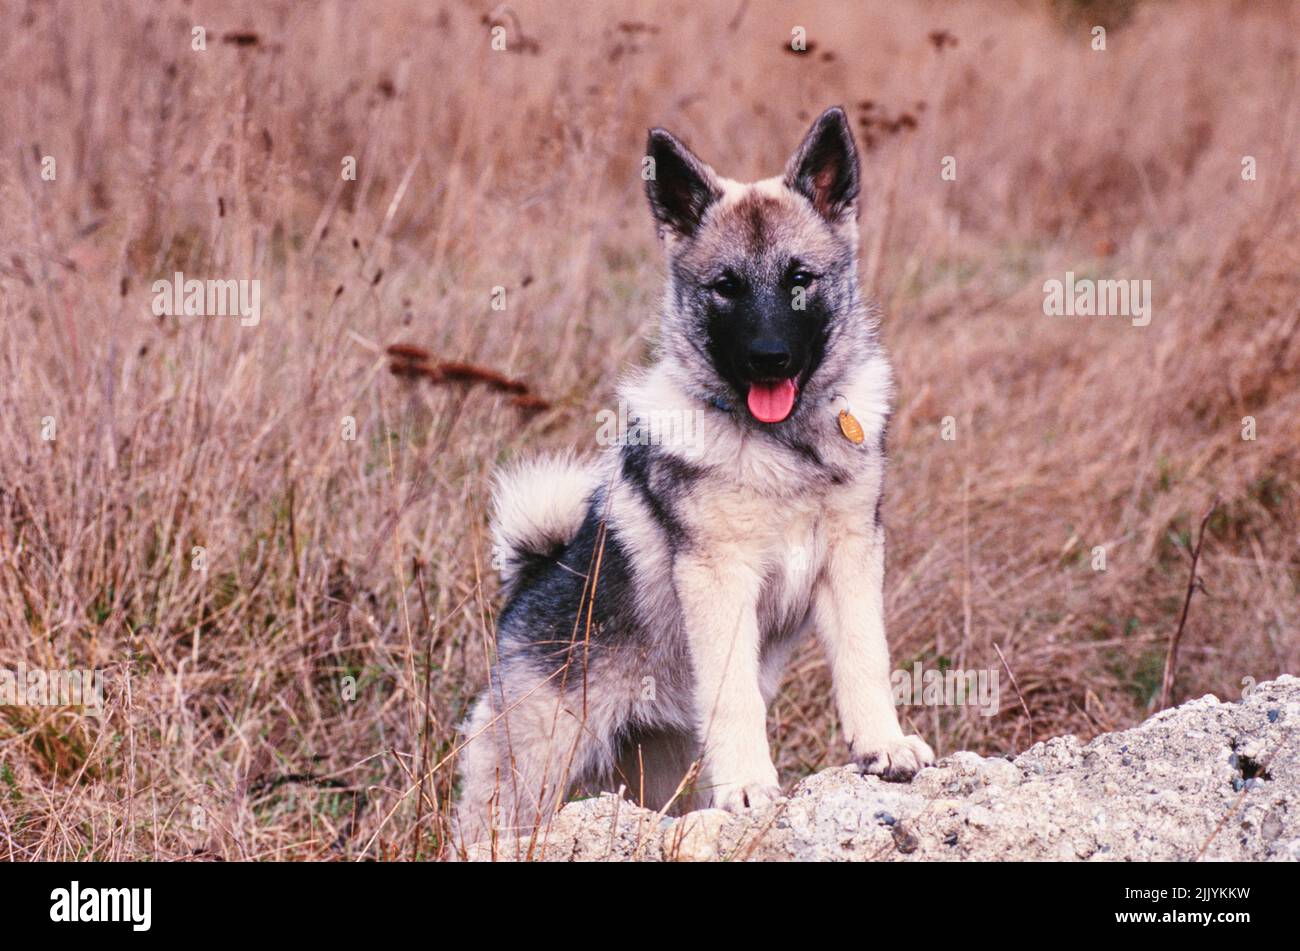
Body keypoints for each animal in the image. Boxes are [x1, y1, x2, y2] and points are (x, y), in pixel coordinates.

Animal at [457, 107, 935, 841]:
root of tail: (529, 578)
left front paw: (883, 744)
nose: (770, 359)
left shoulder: (851, 558)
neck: (780, 445)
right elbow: (734, 693)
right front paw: (749, 786)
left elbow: (865, 658)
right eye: (726, 287)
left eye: (799, 279)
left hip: (655, 772)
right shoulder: (719, 576)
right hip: (530, 775)